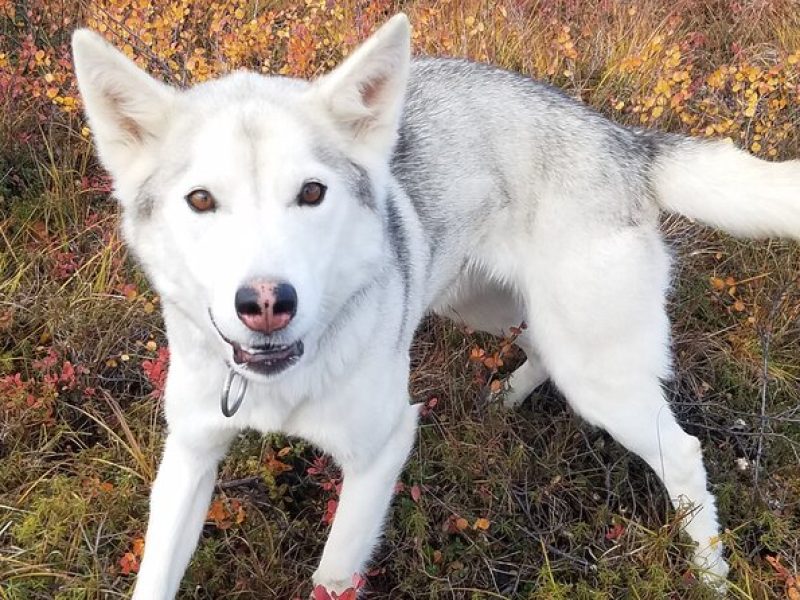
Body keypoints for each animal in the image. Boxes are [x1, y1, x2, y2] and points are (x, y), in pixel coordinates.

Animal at [72, 12, 796, 596]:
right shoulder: (190, 457)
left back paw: (711, 575)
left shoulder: (379, 456)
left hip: (598, 373)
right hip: (488, 309)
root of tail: (624, 143)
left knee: (683, 455)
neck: (278, 384)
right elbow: (155, 576)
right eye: (200, 200)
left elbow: (334, 573)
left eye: (312, 193)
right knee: (537, 349)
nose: (267, 303)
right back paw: (505, 397)